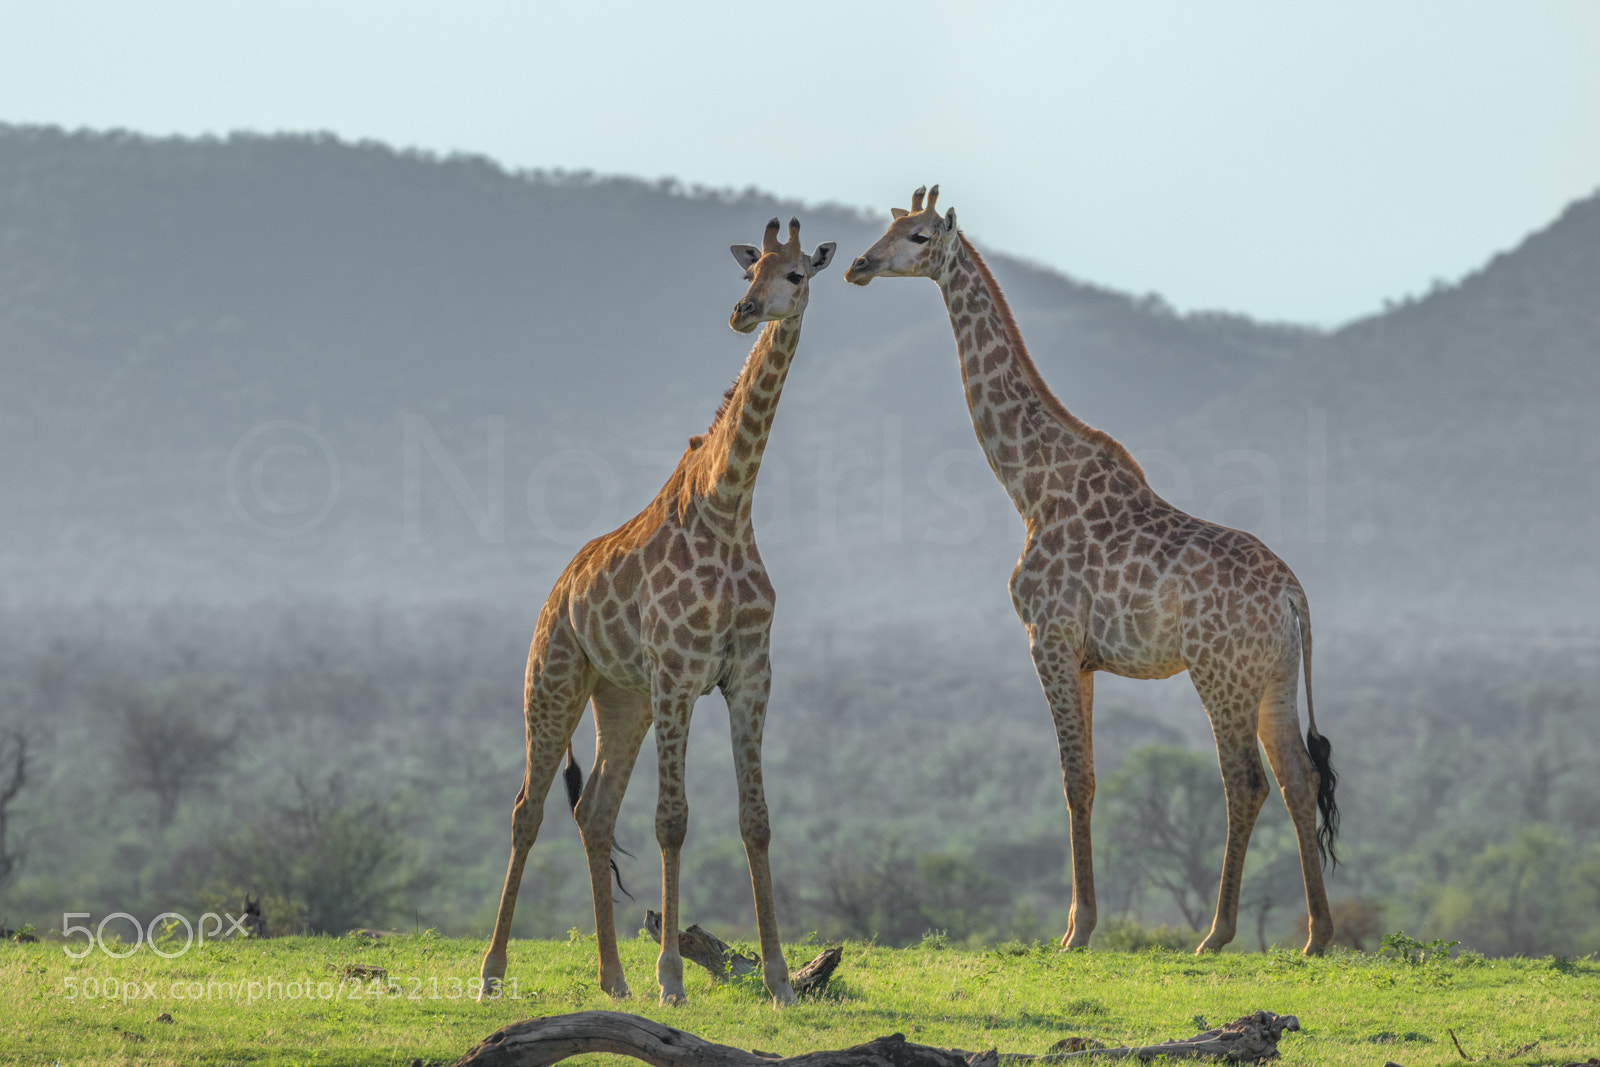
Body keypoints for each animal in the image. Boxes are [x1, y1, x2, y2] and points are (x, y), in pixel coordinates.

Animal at [478, 217, 835, 1006]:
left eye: (796, 274)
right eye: (749, 272)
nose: (742, 313)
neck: (729, 507)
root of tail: (556, 590)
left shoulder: (749, 676)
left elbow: (756, 820)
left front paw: (779, 980)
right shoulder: (678, 673)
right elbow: (673, 820)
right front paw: (672, 976)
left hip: (622, 699)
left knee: (593, 811)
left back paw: (613, 980)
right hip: (554, 681)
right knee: (527, 809)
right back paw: (492, 972)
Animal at [844, 187, 1339, 955]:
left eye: (919, 236)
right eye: (887, 226)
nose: (858, 266)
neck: (1028, 486)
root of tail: (1294, 594)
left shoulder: (1047, 637)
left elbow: (1073, 778)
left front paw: (1077, 931)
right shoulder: (1082, 654)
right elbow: (1090, 778)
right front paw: (1081, 922)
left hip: (1219, 673)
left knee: (1245, 780)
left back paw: (1216, 934)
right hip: (1276, 677)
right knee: (1297, 777)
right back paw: (1317, 936)